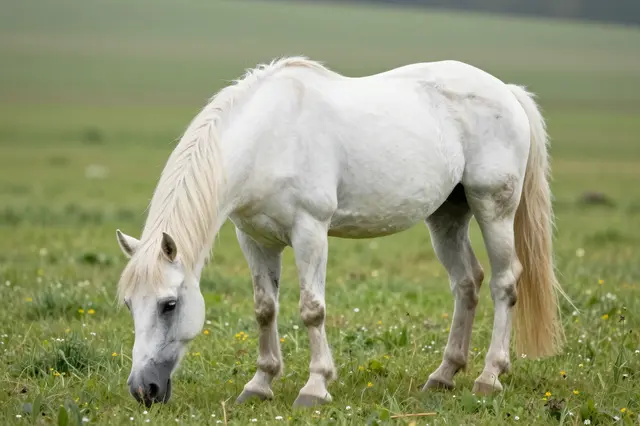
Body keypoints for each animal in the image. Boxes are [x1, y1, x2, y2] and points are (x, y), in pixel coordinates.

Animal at [114, 56, 565, 408]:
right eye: (129, 304)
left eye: (169, 304)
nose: (143, 389)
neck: (266, 137)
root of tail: (506, 91)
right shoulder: (256, 240)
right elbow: (264, 308)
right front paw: (260, 384)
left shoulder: (310, 231)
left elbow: (312, 309)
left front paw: (315, 387)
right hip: (446, 216)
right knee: (467, 282)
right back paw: (443, 375)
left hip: (493, 209)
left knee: (505, 284)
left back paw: (489, 377)